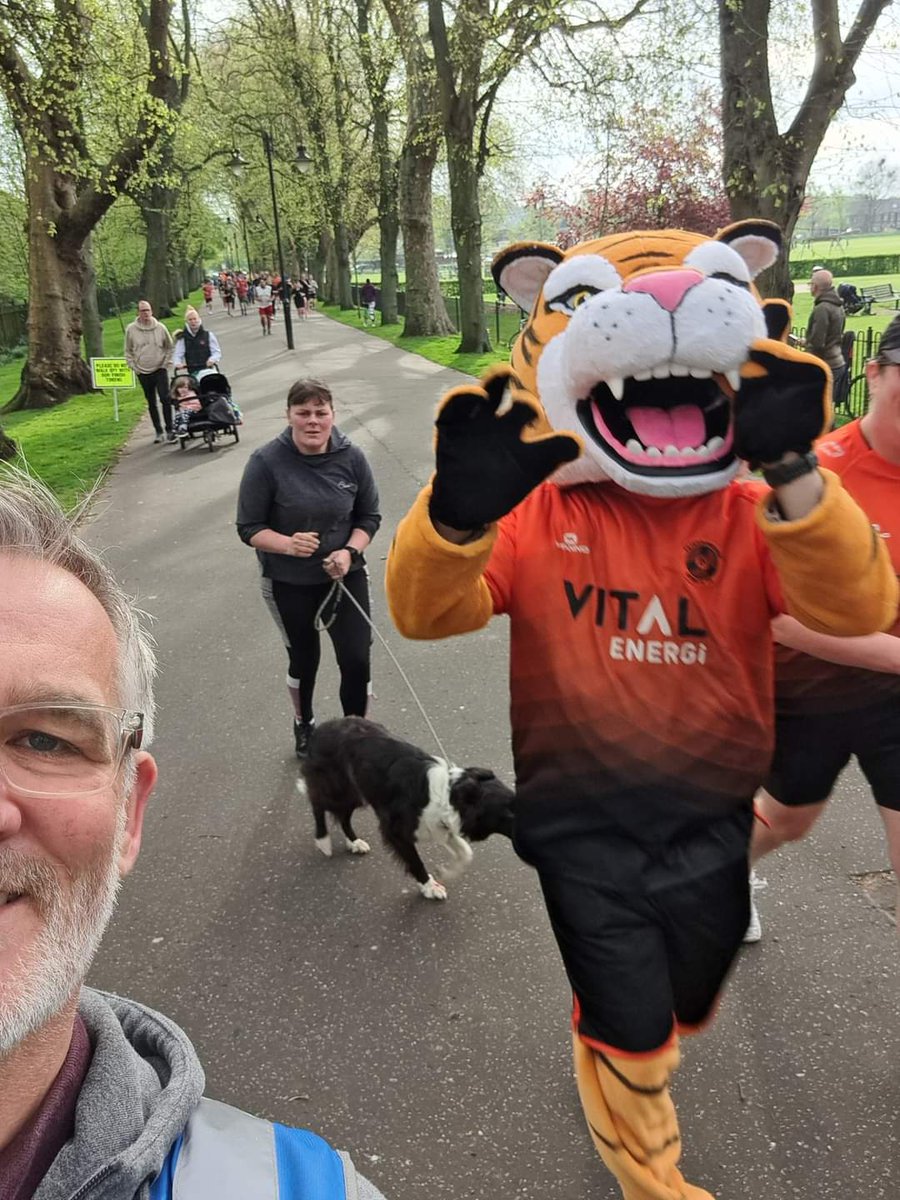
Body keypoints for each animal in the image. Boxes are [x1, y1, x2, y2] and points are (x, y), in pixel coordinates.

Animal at [296, 710, 513, 902]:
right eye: (510, 814)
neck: (449, 795)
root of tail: (320, 729)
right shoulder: (395, 830)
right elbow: (415, 861)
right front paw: (429, 887)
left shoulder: (440, 824)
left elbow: (466, 853)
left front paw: (446, 872)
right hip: (337, 788)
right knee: (317, 802)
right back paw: (323, 840)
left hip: (357, 792)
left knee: (342, 816)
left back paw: (354, 842)